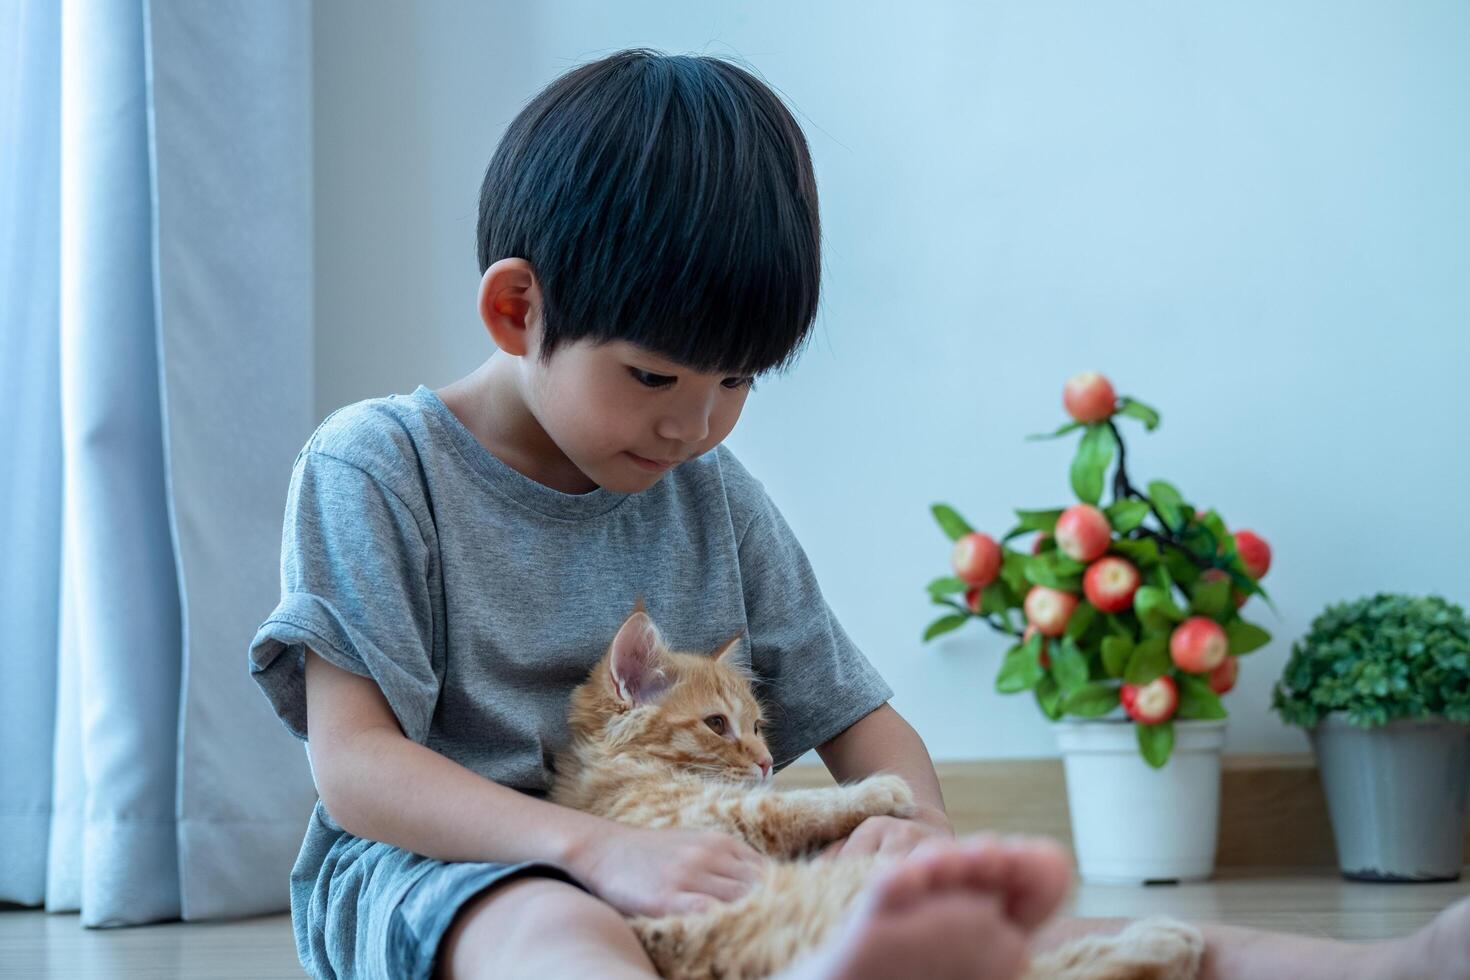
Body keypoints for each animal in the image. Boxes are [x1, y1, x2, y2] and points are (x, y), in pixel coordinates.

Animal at [546, 599, 1199, 980]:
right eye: (716, 725)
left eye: (756, 727)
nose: (766, 761)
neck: (622, 770)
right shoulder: (689, 823)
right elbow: (788, 806)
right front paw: (880, 791)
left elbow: (780, 804)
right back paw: (1160, 938)